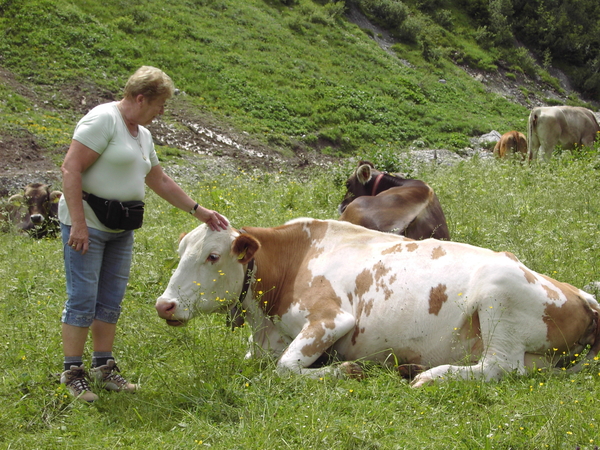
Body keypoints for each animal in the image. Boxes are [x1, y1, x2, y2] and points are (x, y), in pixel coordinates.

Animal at [156, 218, 600, 386]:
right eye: (180, 252)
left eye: (212, 256)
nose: (164, 305)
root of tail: (581, 294)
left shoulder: (332, 318)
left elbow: (284, 368)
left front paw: (346, 370)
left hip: (498, 295)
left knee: (499, 367)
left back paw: (429, 376)